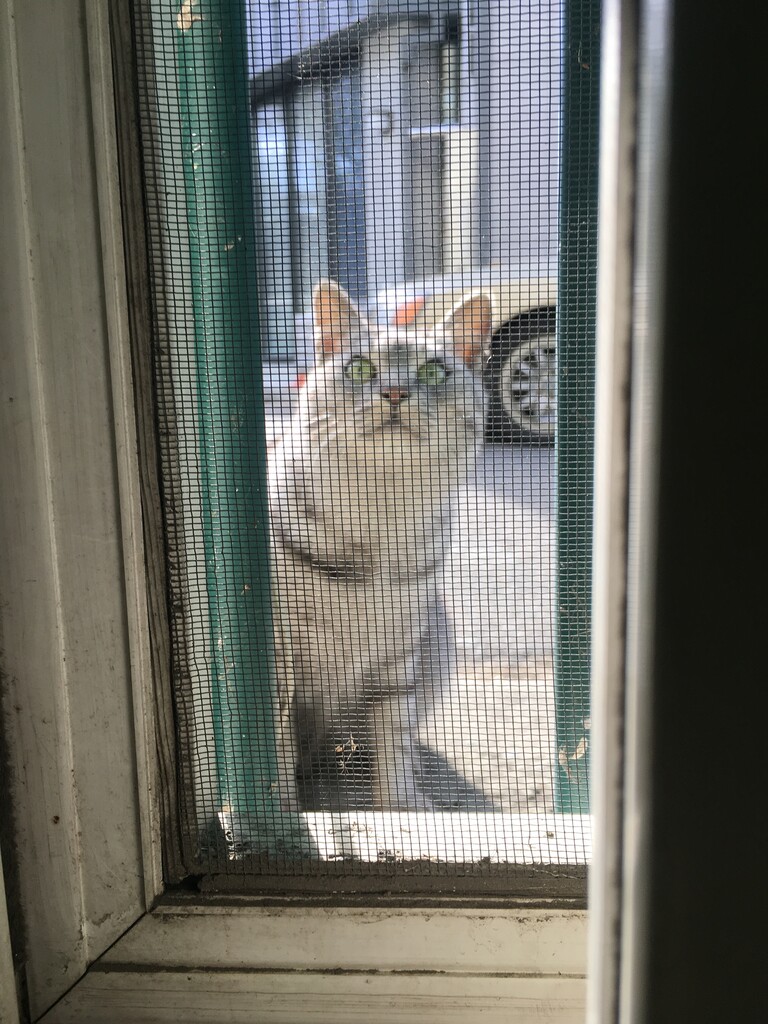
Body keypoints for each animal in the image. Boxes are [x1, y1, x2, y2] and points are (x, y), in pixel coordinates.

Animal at [269, 279, 491, 811]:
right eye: (360, 368)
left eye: (433, 370)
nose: (394, 392)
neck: (379, 510)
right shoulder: (280, 651)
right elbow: (278, 737)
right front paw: (281, 809)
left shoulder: (400, 647)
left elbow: (393, 735)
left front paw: (402, 804)